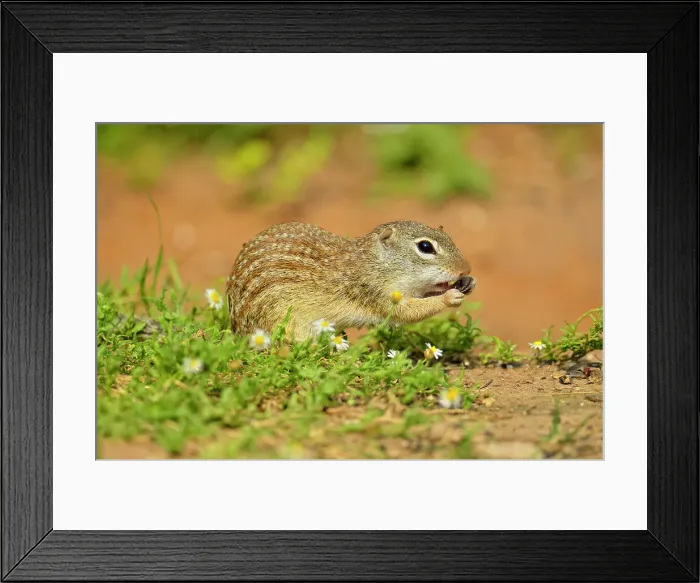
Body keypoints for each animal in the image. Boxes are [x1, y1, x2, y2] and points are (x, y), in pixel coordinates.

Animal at [226, 220, 476, 341]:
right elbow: (407, 312)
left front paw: (468, 283)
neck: (374, 263)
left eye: (449, 237)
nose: (466, 268)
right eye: (425, 247)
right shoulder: (375, 292)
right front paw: (448, 298)